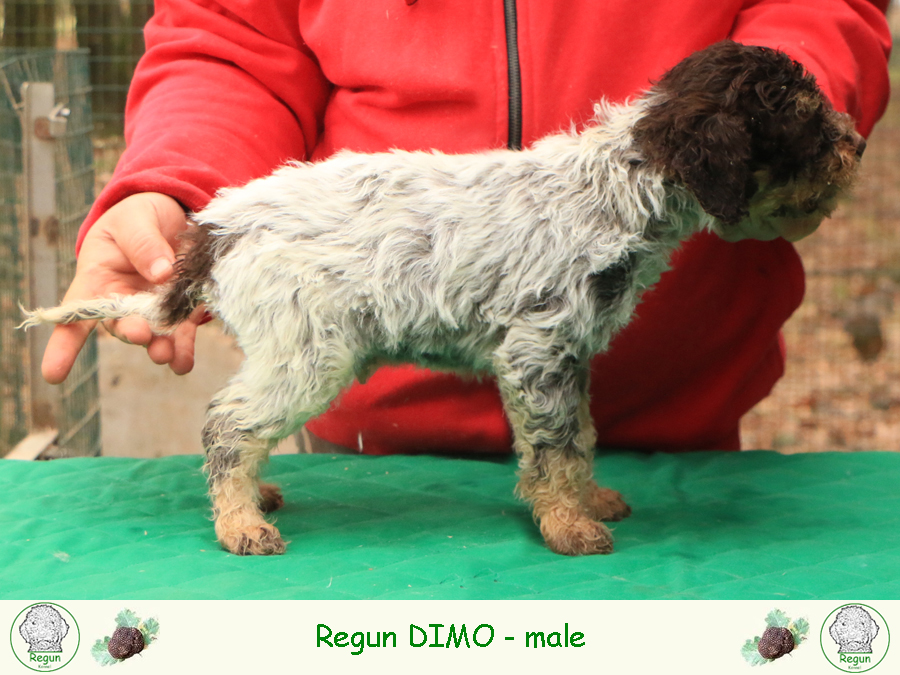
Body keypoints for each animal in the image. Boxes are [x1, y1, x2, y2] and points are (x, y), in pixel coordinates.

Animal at [21, 43, 864, 560]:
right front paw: (567, 521)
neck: (622, 187)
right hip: (310, 352)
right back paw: (240, 521)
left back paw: (253, 494)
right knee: (227, 423)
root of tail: (216, 228)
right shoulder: (537, 347)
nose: (855, 145)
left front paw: (590, 498)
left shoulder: (568, 356)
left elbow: (581, 436)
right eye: (800, 116)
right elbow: (552, 446)